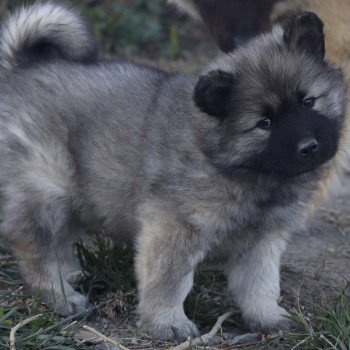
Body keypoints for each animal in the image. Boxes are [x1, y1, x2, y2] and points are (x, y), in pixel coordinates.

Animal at [0, 0, 346, 340]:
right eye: (265, 122)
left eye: (309, 101)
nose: (309, 147)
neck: (242, 169)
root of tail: (24, 67)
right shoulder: (174, 229)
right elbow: (169, 282)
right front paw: (167, 323)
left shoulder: (263, 241)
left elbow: (261, 284)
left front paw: (268, 317)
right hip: (47, 192)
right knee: (36, 251)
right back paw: (60, 295)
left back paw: (71, 274)